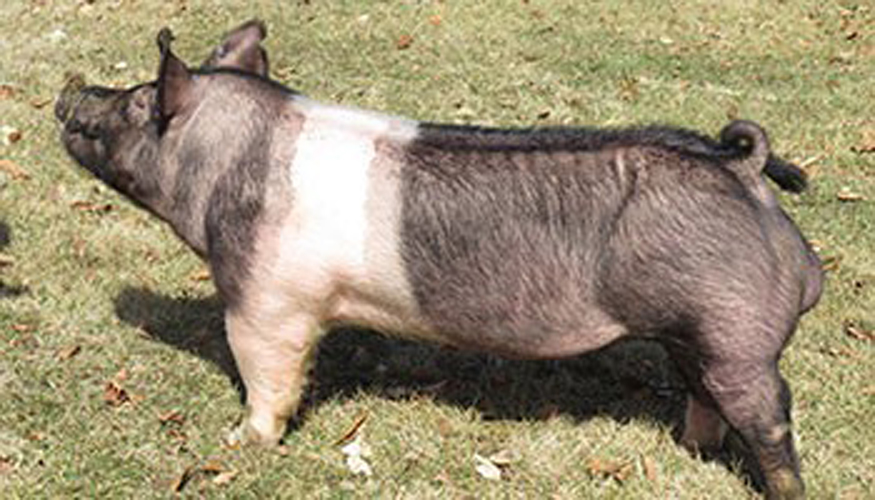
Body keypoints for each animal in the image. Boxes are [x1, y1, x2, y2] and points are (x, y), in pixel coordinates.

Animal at [55, 22, 822, 499]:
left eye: (139, 103)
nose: (69, 90)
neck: (225, 170)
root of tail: (741, 168)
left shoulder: (268, 298)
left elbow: (266, 374)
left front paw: (239, 445)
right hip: (691, 333)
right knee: (701, 395)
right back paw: (686, 452)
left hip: (736, 333)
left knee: (770, 419)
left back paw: (783, 488)